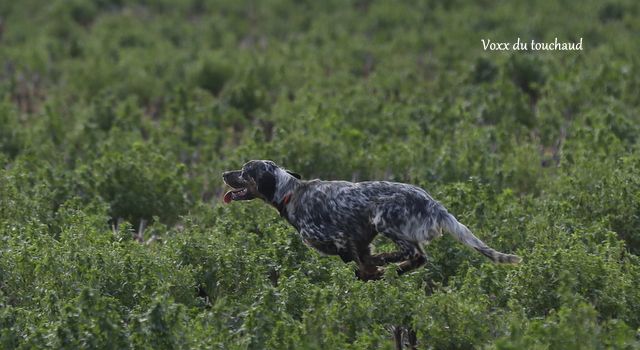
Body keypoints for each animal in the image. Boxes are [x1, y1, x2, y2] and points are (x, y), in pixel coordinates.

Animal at [222, 160, 524, 280]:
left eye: (245, 171)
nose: (224, 173)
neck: (291, 193)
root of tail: (436, 206)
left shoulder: (342, 238)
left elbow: (360, 262)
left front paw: (374, 270)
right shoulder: (361, 239)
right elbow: (362, 260)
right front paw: (373, 271)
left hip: (383, 218)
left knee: (413, 253)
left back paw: (392, 265)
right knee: (419, 257)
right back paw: (396, 269)